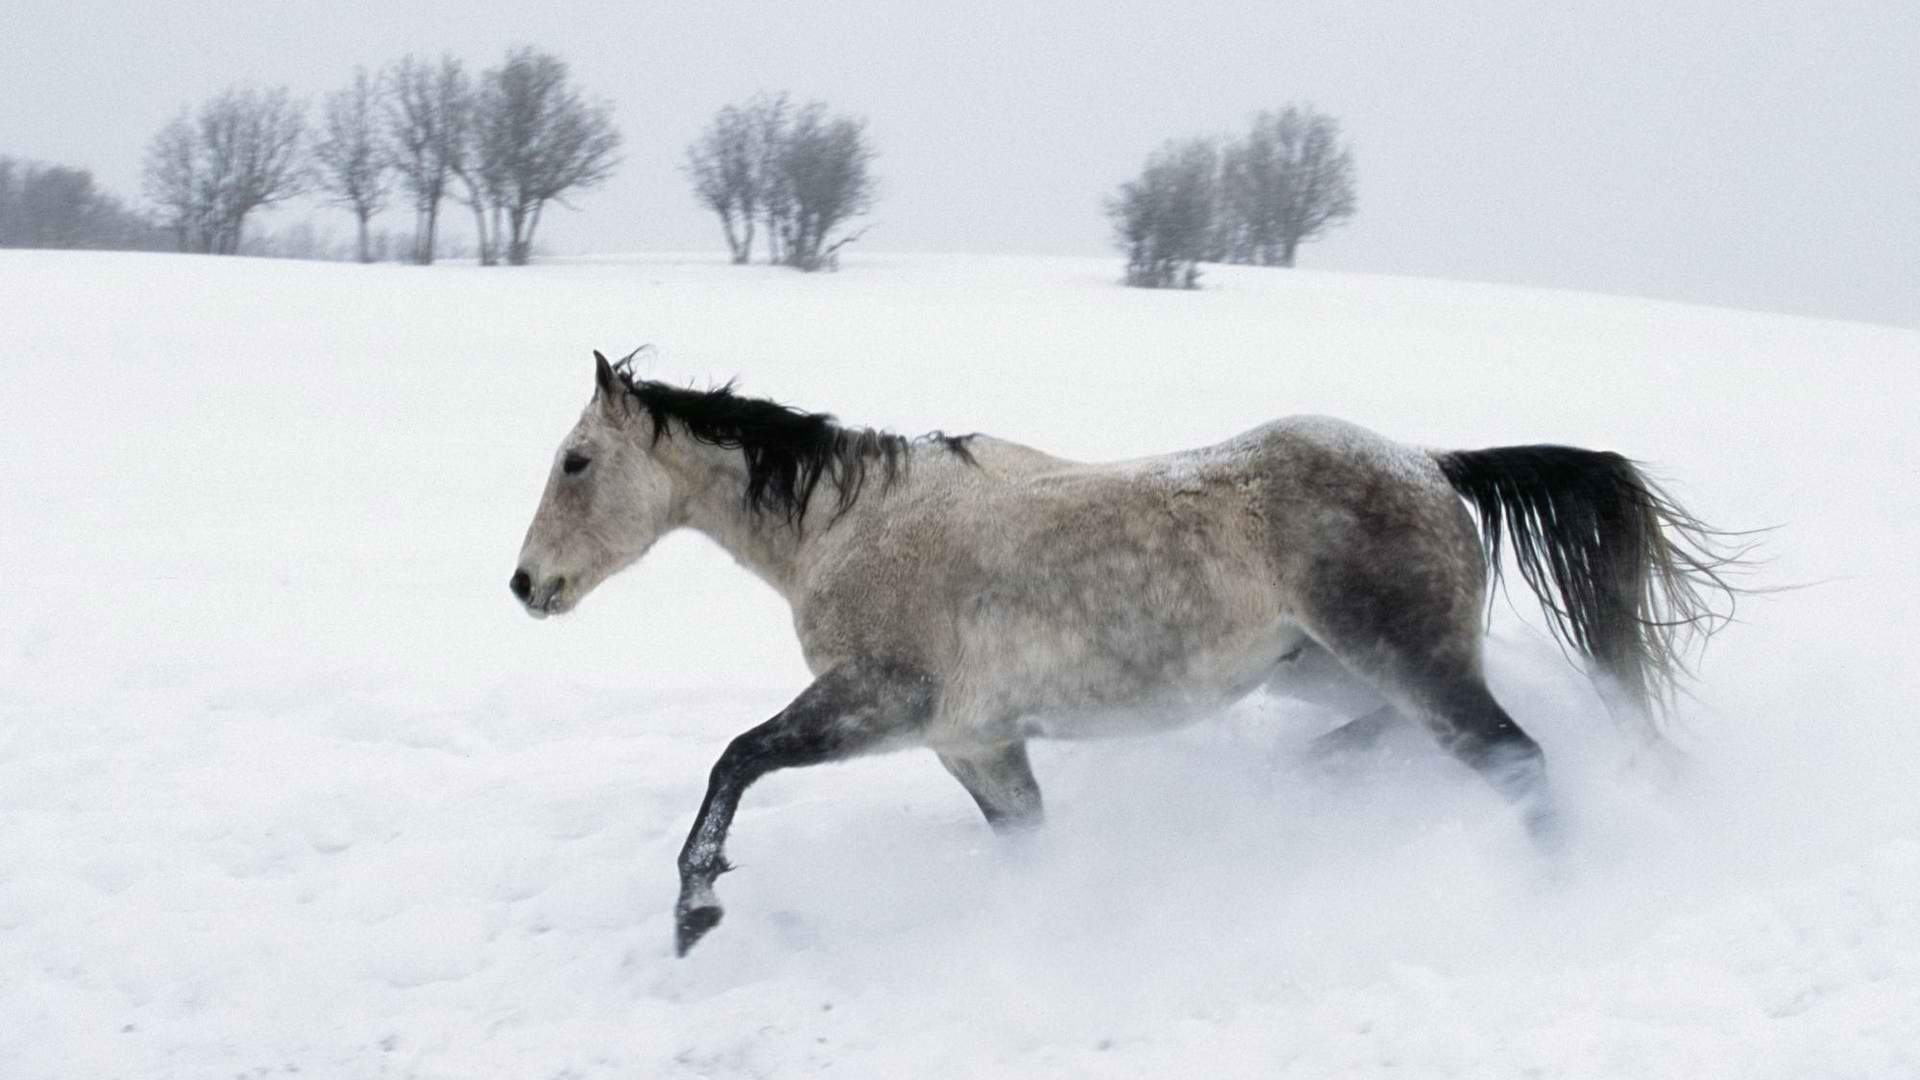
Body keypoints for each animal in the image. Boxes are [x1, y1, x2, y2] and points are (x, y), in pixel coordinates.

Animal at [511, 351, 1739, 956]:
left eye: (576, 461)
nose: (526, 586)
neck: (852, 527)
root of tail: (1433, 466)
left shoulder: (881, 702)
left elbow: (735, 759)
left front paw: (694, 913)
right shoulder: (975, 743)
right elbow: (1027, 845)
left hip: (1408, 660)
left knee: (1519, 763)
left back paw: (1556, 898)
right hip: (1326, 669)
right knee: (1402, 735)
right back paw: (1310, 785)